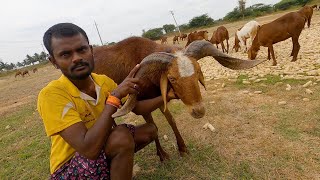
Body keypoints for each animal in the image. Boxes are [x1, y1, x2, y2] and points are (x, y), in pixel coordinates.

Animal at [92, 36, 262, 160]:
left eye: (198, 70)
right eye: (172, 78)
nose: (198, 111)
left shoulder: (159, 99)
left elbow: (171, 120)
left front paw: (183, 148)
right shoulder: (141, 107)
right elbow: (153, 125)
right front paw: (162, 155)